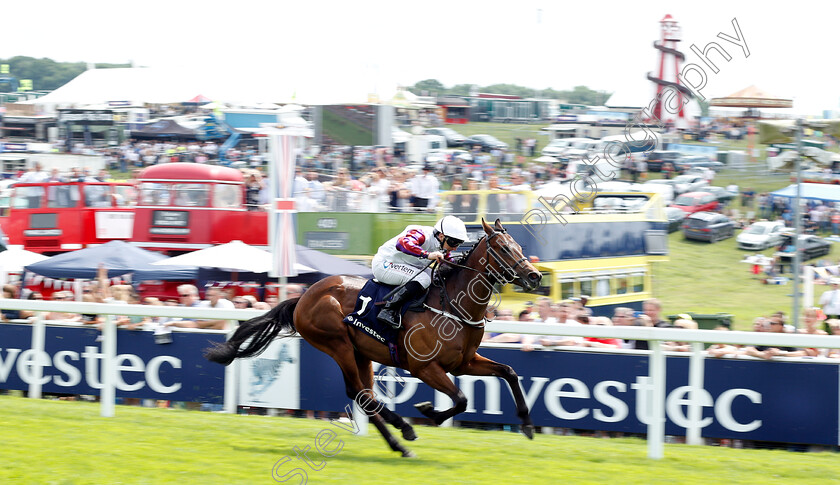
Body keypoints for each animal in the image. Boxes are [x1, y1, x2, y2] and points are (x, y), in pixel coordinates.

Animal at [207, 217, 540, 456]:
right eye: (504, 249)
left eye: (520, 247)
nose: (534, 276)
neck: (451, 304)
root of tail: (302, 296)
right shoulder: (425, 367)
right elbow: (460, 399)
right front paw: (429, 412)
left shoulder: (464, 363)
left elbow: (509, 372)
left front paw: (526, 425)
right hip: (336, 343)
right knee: (360, 393)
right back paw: (403, 429)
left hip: (361, 353)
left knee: (365, 395)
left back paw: (400, 443)